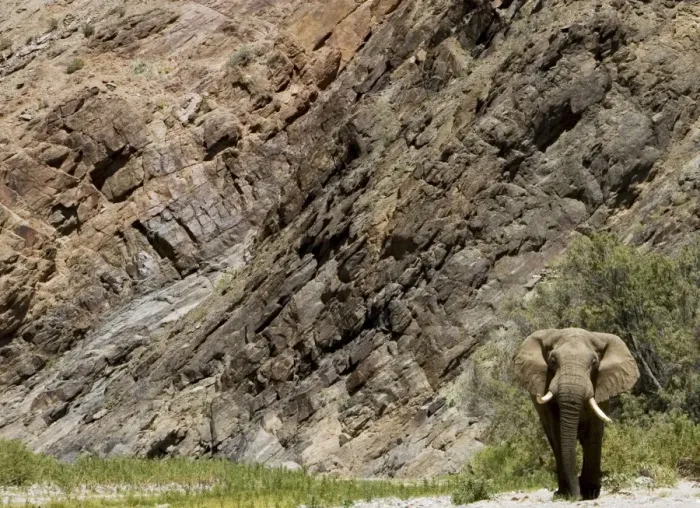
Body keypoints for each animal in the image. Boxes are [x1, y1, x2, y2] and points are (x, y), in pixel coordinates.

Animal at [513, 328, 640, 500]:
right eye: (552, 360)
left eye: (594, 363)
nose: (576, 497)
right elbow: (558, 432)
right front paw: (572, 493)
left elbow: (594, 432)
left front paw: (591, 493)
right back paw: (562, 493)